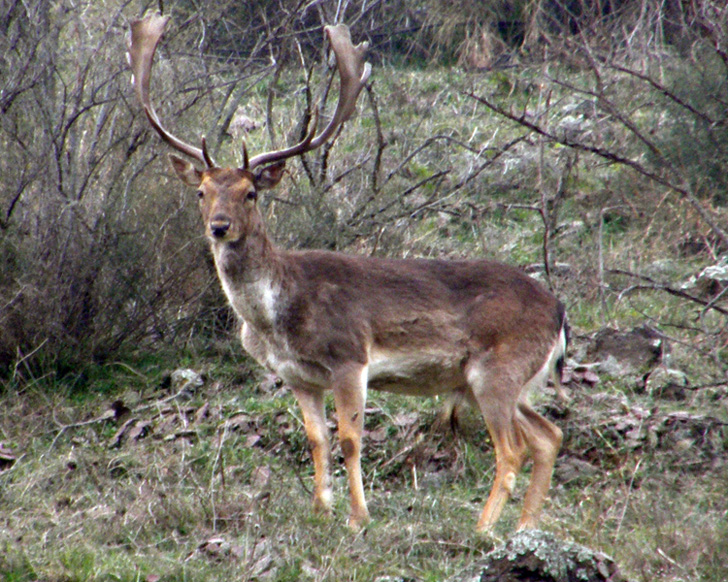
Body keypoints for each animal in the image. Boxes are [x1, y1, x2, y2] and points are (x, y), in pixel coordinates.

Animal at [126, 14, 568, 532]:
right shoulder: (298, 377)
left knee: (512, 450)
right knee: (548, 435)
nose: (219, 226)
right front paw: (321, 509)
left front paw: (358, 517)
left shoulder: (350, 357)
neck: (276, 317)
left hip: (497, 369)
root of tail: (560, 312)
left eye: (250, 193)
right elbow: (316, 438)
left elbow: (351, 439)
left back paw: (483, 531)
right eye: (202, 192)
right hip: (509, 380)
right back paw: (524, 528)